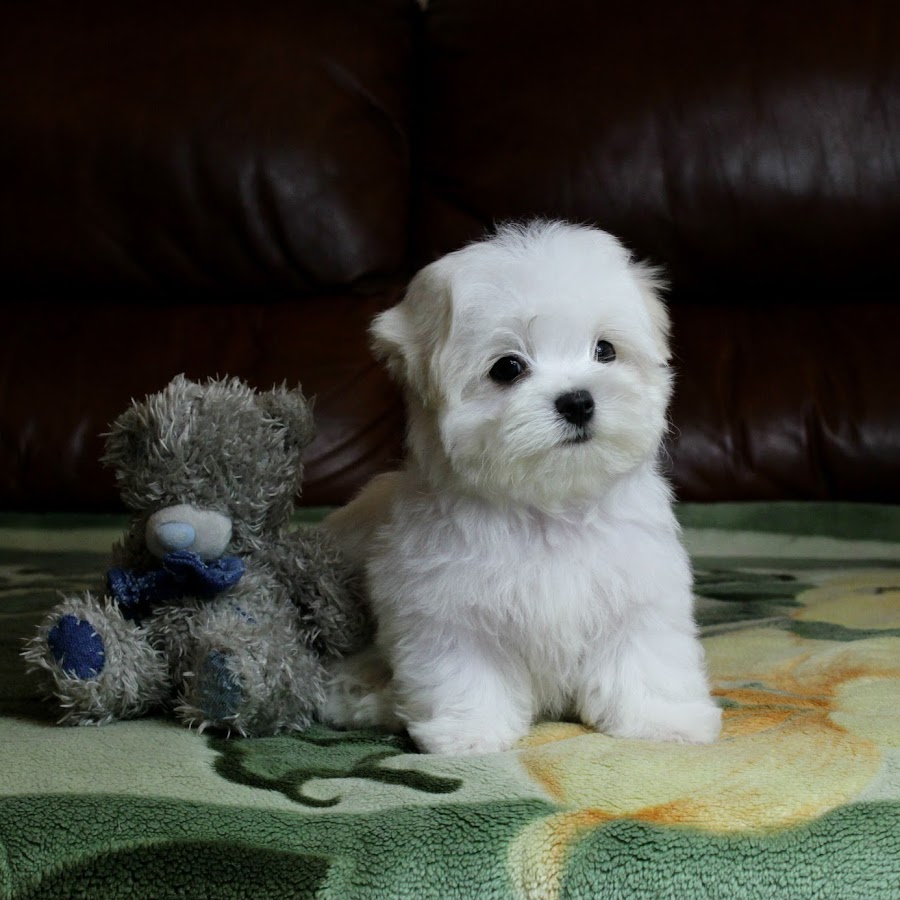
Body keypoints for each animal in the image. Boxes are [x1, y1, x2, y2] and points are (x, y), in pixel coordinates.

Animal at [322, 221, 716, 756]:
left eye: (605, 350)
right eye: (507, 368)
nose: (578, 401)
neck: (548, 506)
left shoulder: (637, 587)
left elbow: (644, 654)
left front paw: (662, 721)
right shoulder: (444, 604)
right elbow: (465, 665)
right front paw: (470, 732)